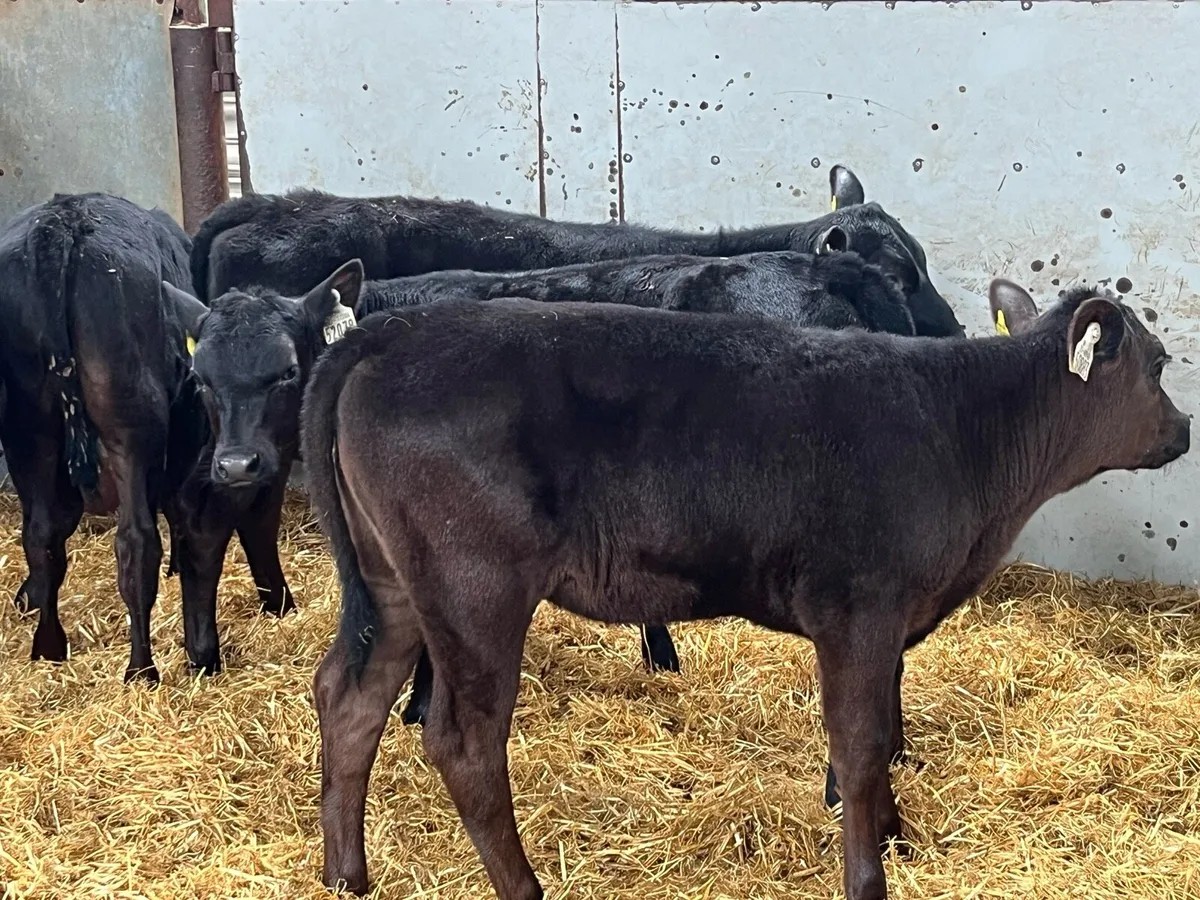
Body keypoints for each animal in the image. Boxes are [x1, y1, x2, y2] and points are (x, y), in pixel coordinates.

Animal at [0, 193, 295, 682]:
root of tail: (63, 221)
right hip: (130, 429)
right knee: (136, 543)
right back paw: (141, 667)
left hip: (29, 430)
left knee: (40, 536)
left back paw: (49, 647)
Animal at [300, 284, 1188, 900]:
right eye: (1158, 366)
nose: (1182, 431)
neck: (964, 430)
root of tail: (391, 332)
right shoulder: (859, 609)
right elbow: (862, 745)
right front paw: (868, 876)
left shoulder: (889, 619)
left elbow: (887, 731)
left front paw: (895, 836)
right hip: (474, 589)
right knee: (462, 740)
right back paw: (524, 889)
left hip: (395, 582)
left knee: (351, 696)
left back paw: (347, 875)